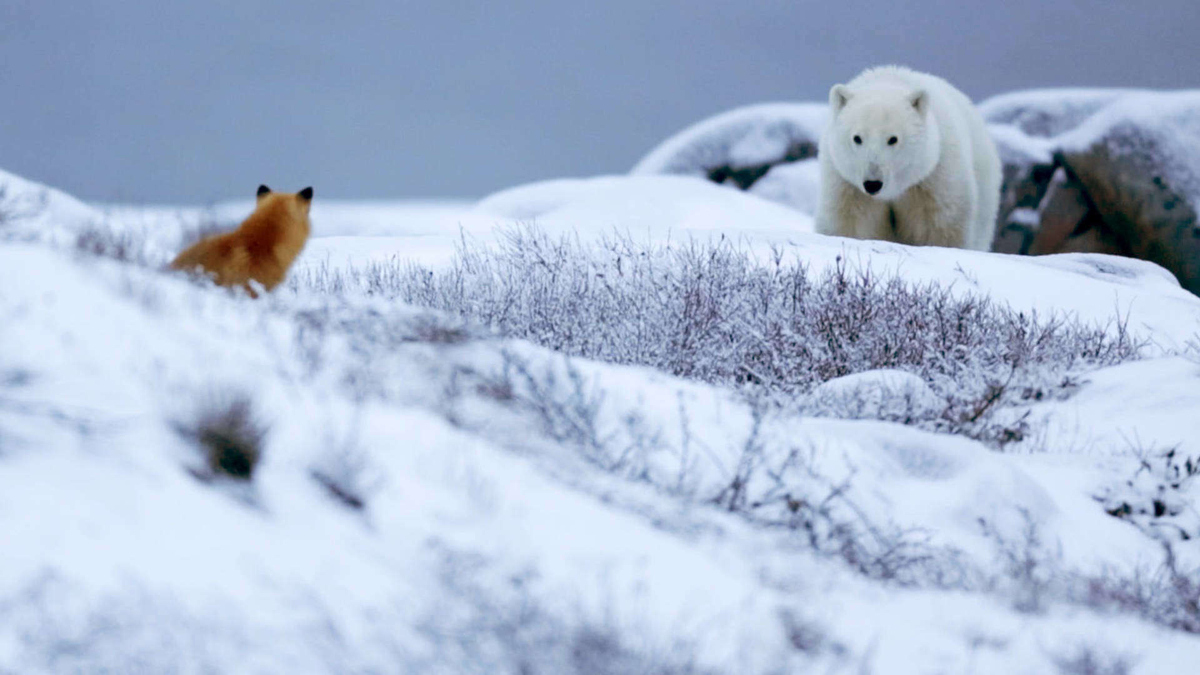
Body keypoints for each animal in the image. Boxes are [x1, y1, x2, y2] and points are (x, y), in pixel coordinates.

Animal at [816, 66, 1001, 251]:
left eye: (893, 139)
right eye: (857, 138)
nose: (872, 184)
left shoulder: (932, 181)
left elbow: (941, 229)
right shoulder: (847, 187)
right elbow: (851, 223)